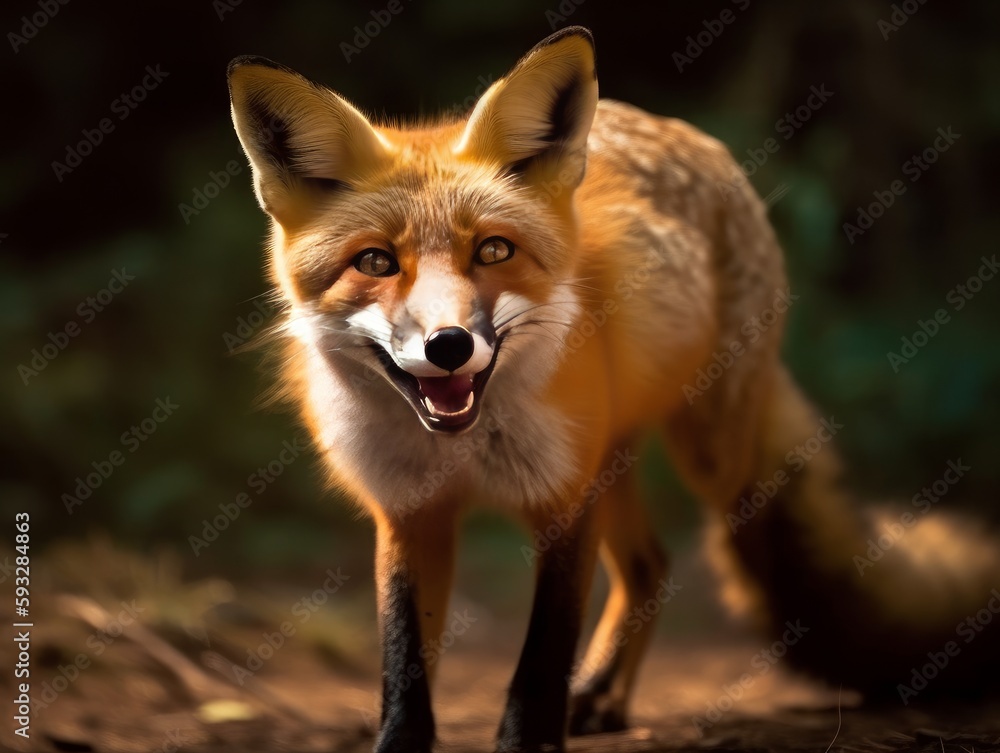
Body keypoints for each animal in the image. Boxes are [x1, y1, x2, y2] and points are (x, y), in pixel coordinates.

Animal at [227, 26, 1000, 753]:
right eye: (376, 262)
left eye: (494, 250)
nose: (448, 345)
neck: (465, 447)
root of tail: (677, 127)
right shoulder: (409, 512)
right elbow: (404, 664)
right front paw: (400, 741)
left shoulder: (564, 499)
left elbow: (543, 653)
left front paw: (531, 739)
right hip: (613, 459)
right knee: (650, 564)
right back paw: (603, 696)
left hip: (707, 460)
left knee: (707, 550)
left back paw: (601, 693)